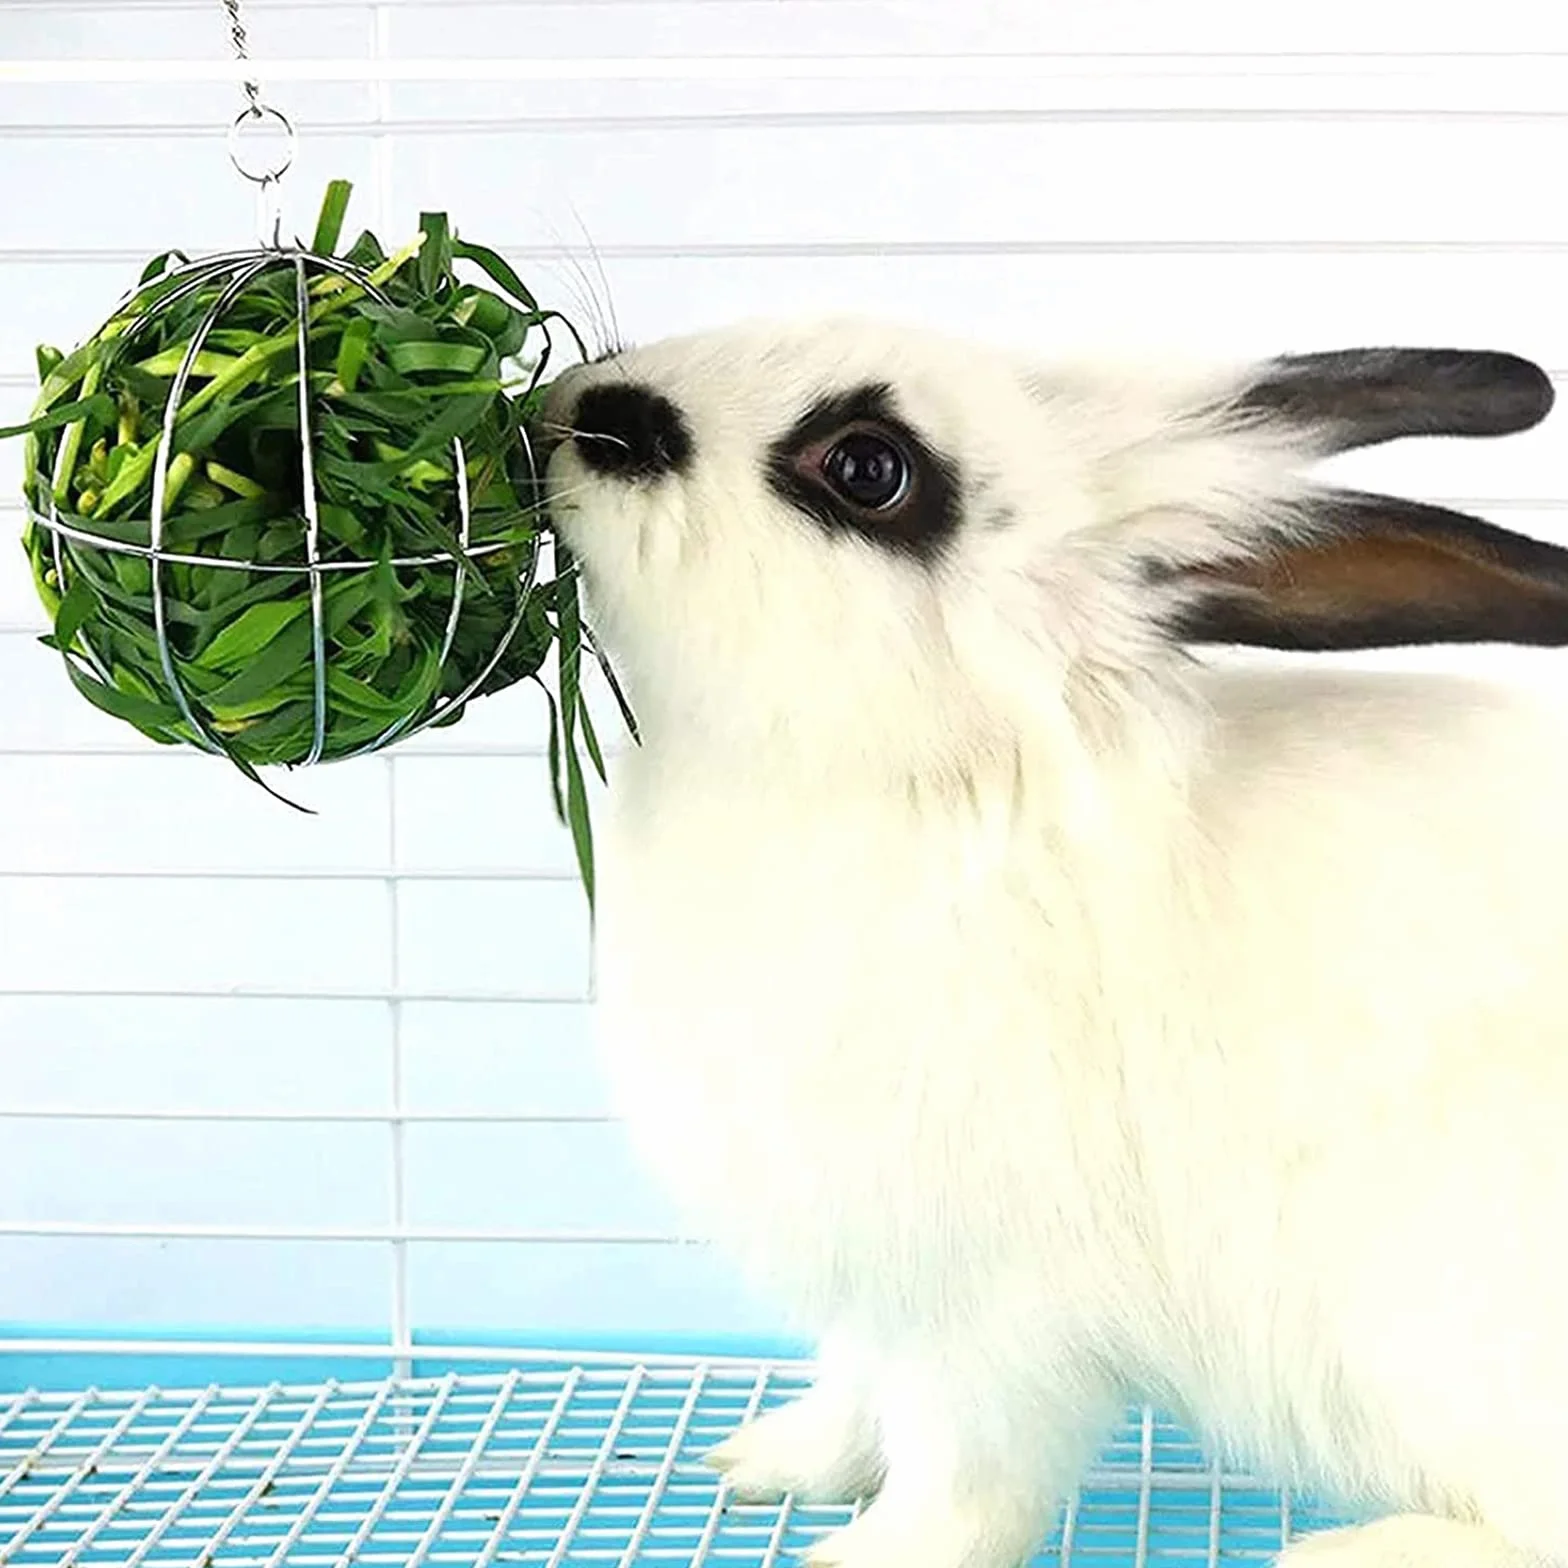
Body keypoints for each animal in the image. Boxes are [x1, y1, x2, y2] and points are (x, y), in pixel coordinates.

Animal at [537, 319, 1568, 1568]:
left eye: (869, 467)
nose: (584, 409)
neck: (937, 782)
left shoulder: (989, 1316)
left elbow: (964, 1481)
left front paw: (865, 1553)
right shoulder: (877, 1284)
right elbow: (851, 1388)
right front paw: (769, 1463)